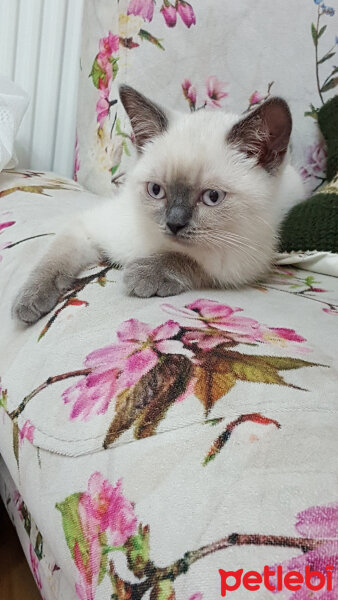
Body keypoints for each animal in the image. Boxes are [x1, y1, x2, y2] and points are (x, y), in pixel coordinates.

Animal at [13, 84, 304, 324]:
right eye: (156, 190)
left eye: (212, 197)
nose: (174, 223)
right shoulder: (87, 228)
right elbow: (52, 261)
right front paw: (29, 300)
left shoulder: (241, 262)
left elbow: (190, 260)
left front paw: (142, 275)